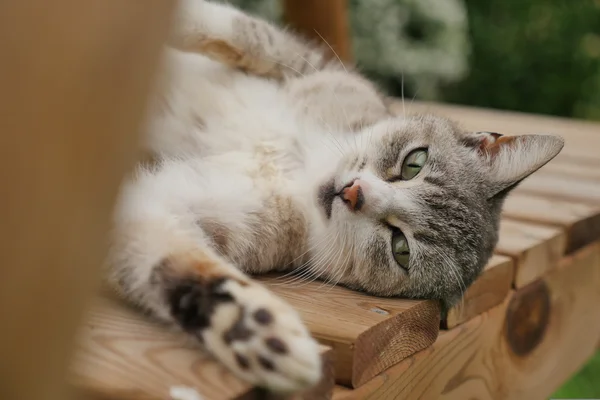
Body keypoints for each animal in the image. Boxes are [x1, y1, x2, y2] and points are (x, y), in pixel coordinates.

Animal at [105, 0, 564, 394]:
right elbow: (233, 28)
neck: (299, 166)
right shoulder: (305, 62)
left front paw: (259, 332)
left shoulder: (176, 205)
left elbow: (171, 262)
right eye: (414, 163)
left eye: (400, 248)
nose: (354, 193)